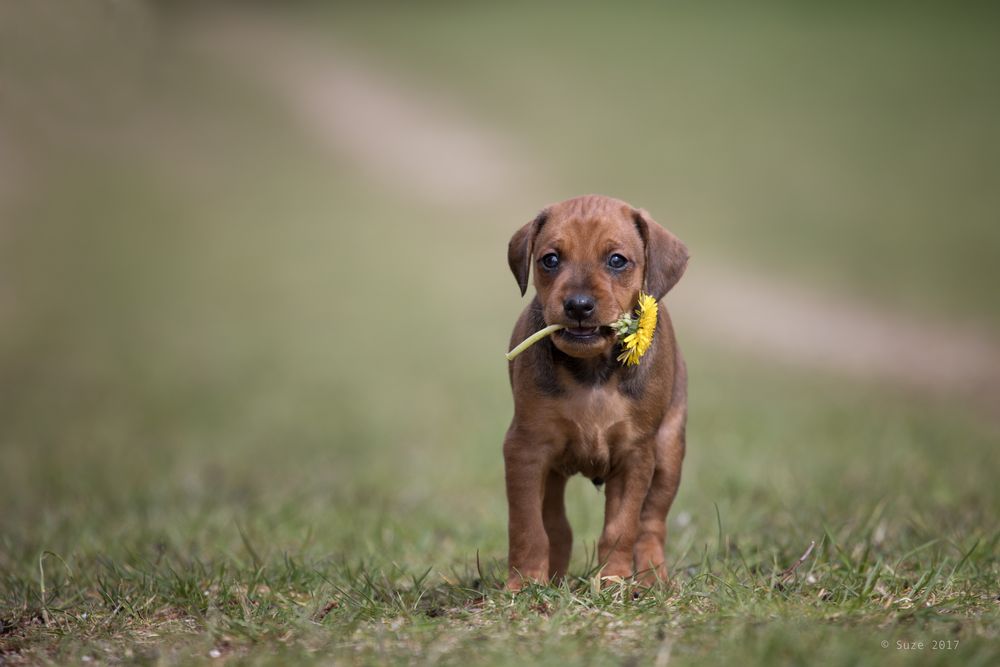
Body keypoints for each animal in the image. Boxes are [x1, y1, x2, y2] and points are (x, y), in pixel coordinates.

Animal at [504, 193, 692, 588]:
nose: (578, 305)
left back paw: (651, 578)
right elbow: (528, 527)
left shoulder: (636, 455)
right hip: (553, 468)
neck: (591, 372)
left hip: (668, 453)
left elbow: (622, 528)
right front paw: (524, 583)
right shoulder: (525, 449)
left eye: (617, 260)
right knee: (557, 526)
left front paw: (614, 581)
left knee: (652, 525)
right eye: (550, 259)